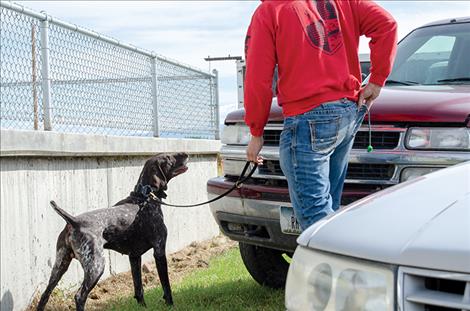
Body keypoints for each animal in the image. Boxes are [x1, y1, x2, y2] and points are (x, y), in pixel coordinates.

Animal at [36, 154, 189, 311]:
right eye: (169, 158)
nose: (186, 153)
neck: (144, 198)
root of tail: (73, 221)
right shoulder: (159, 250)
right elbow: (166, 287)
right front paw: (171, 305)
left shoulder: (134, 257)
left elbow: (139, 288)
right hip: (96, 266)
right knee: (79, 296)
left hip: (60, 265)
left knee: (45, 295)